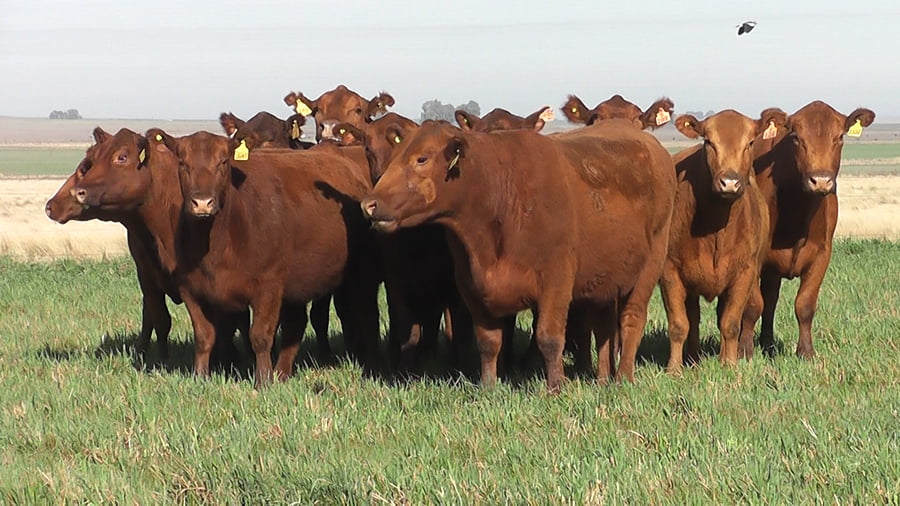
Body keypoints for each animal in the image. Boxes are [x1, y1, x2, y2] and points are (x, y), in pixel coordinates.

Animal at [67, 128, 381, 387]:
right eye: (183, 164)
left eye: (223, 163)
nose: (202, 202)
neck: (218, 242)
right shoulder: (192, 288)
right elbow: (206, 334)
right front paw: (201, 376)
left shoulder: (268, 288)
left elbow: (259, 336)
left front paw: (262, 381)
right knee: (296, 325)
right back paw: (283, 373)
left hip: (354, 278)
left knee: (359, 315)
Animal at [361, 120, 676, 392]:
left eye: (422, 159)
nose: (369, 204)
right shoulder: (471, 286)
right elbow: (488, 341)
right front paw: (488, 386)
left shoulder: (556, 283)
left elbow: (549, 338)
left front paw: (555, 388)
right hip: (604, 280)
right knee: (604, 327)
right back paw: (601, 381)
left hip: (648, 268)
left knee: (631, 320)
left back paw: (623, 378)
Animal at [662, 109, 785, 373]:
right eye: (709, 142)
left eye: (750, 143)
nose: (729, 182)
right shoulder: (669, 272)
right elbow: (679, 324)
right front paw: (674, 369)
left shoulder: (744, 273)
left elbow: (730, 322)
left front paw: (729, 364)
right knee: (693, 317)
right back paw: (693, 359)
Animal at [739, 101, 876, 359]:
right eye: (796, 138)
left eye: (839, 137)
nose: (820, 180)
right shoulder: (753, 257)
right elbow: (752, 304)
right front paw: (744, 350)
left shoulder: (822, 254)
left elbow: (805, 304)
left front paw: (806, 352)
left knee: (771, 299)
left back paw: (768, 343)